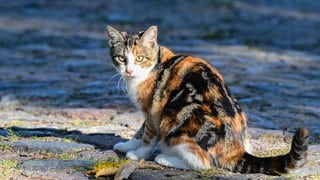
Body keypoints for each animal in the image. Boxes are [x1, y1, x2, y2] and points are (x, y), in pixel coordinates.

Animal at [106, 25, 308, 174]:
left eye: (140, 58)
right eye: (121, 58)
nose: (129, 70)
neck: (155, 64)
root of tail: (235, 149)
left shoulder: (153, 110)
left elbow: (148, 135)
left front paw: (137, 153)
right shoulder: (149, 111)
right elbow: (139, 130)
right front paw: (126, 145)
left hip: (179, 122)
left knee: (204, 164)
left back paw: (165, 158)